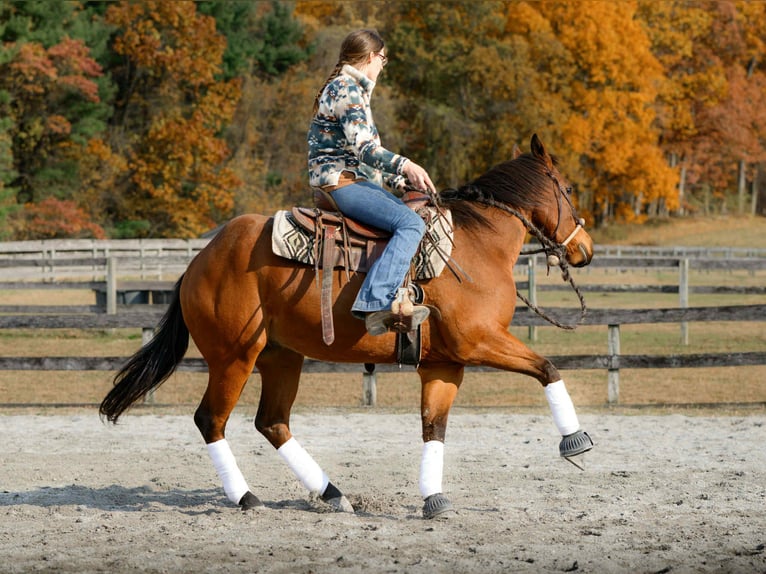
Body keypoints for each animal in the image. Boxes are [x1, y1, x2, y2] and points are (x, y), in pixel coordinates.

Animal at [100, 134, 595, 519]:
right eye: (569, 187)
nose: (585, 249)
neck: (476, 245)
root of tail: (201, 260)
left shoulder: (445, 364)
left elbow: (433, 427)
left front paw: (433, 499)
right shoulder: (480, 343)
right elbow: (548, 368)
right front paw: (574, 441)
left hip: (281, 357)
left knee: (272, 423)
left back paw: (333, 494)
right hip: (233, 358)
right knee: (211, 420)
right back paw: (246, 496)